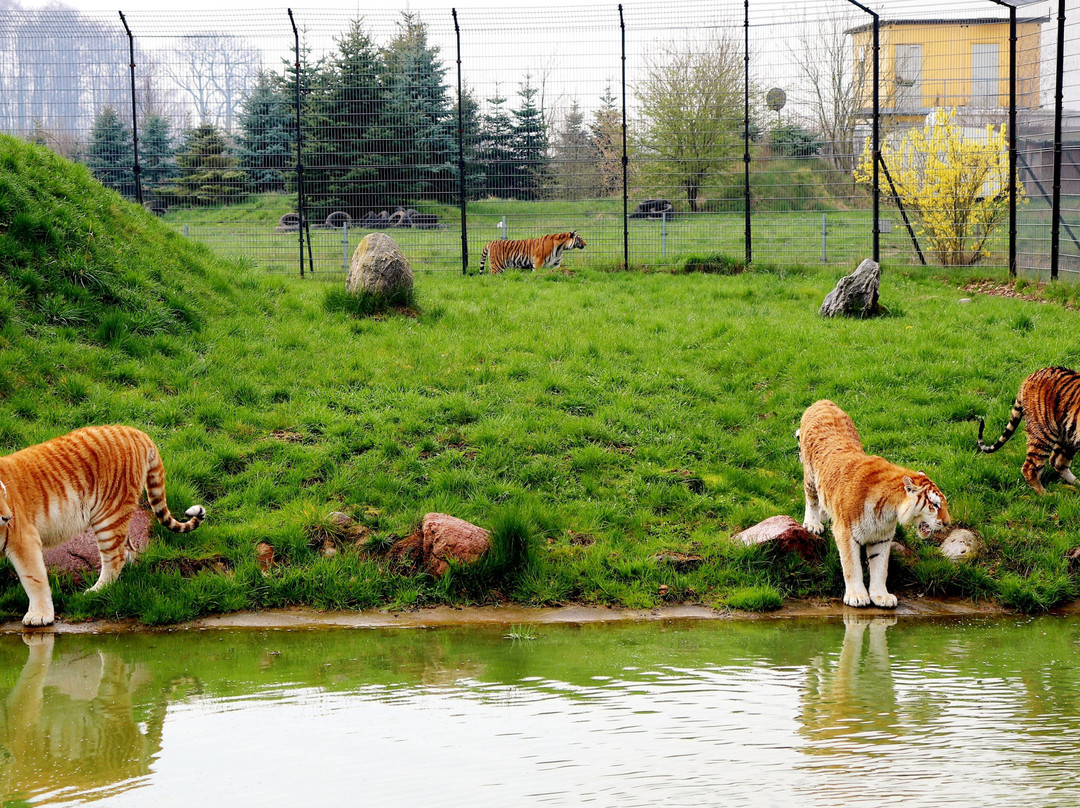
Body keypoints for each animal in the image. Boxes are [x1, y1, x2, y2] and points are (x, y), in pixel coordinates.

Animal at [0, 425, 204, 626]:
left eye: (4, 495)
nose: (8, 517)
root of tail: (135, 431)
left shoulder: (23, 540)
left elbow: (34, 579)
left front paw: (39, 616)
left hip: (109, 515)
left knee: (116, 556)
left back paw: (97, 591)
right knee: (129, 550)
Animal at [799, 401, 950, 609]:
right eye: (935, 505)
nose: (947, 523)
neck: (888, 511)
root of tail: (822, 401)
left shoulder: (882, 537)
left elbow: (880, 569)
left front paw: (881, 596)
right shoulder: (845, 532)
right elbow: (852, 566)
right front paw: (857, 596)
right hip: (810, 476)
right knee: (811, 498)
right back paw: (813, 523)